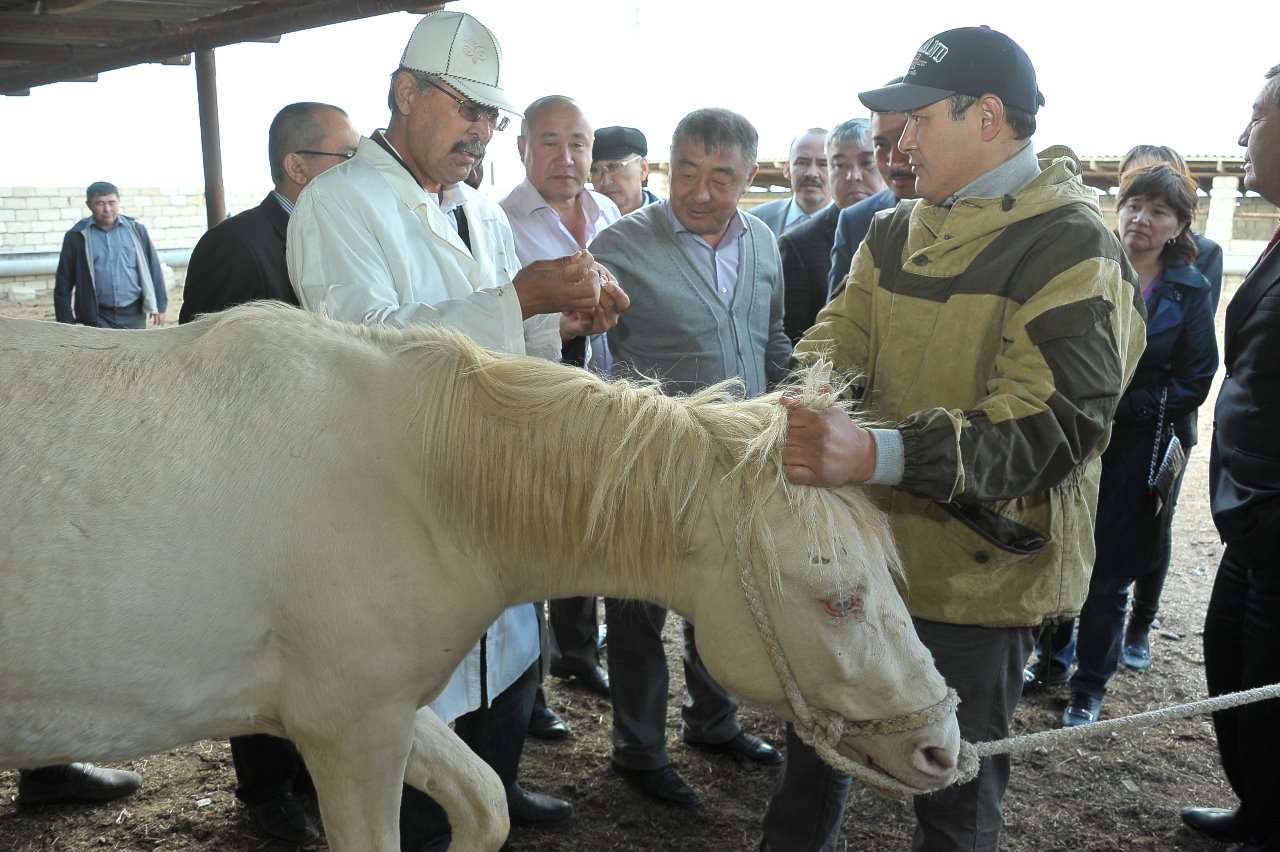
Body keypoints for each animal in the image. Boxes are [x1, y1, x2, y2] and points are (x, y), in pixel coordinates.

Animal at [2, 305, 962, 849]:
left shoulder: (390, 713)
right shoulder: (350, 734)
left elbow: (488, 805)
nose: (943, 747)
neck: (418, 479)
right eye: (840, 600)